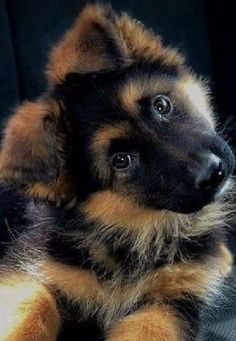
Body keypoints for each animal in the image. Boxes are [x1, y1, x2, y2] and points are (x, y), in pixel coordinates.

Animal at [0, 3, 234, 340]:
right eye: (122, 160)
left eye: (161, 105)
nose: (213, 171)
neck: (133, 232)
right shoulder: (25, 266)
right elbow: (34, 300)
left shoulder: (171, 298)